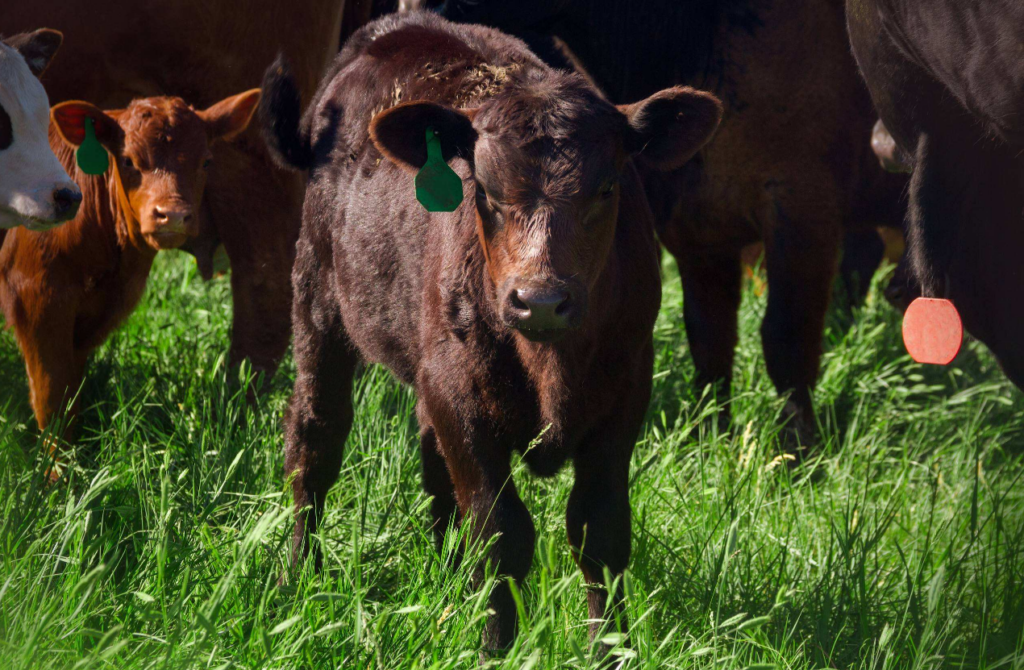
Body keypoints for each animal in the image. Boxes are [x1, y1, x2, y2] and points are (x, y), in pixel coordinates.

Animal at [0, 89, 259, 444]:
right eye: (127, 161)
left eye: (206, 161)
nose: (172, 215)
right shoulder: (37, 298)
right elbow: (53, 400)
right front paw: (57, 461)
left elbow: (71, 394)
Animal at [259, 12, 722, 654]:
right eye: (485, 191)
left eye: (607, 189)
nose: (541, 301)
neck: (551, 367)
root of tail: (397, 25)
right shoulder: (460, 396)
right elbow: (501, 532)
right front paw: (495, 648)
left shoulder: (625, 390)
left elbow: (599, 533)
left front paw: (611, 649)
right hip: (319, 303)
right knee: (315, 439)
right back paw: (300, 575)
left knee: (431, 465)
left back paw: (447, 581)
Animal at [425, 0, 908, 447]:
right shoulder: (696, 224)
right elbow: (710, 337)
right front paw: (712, 436)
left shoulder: (803, 208)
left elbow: (786, 337)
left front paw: (798, 449)